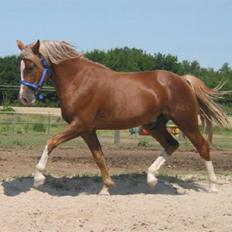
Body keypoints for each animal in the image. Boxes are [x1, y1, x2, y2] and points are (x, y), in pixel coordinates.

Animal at [16, 40, 230, 194]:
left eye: (31, 66)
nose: (25, 98)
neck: (78, 81)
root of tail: (183, 80)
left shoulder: (80, 125)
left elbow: (51, 141)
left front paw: (38, 178)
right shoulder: (87, 130)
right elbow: (98, 156)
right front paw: (106, 187)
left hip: (186, 122)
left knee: (202, 146)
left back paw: (213, 186)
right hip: (154, 125)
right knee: (172, 144)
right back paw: (151, 178)